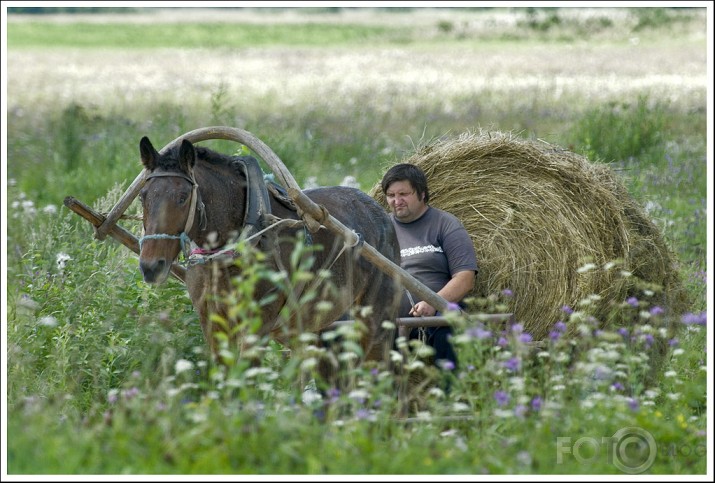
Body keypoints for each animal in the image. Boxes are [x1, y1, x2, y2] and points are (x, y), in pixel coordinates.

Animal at [135, 136, 402, 382]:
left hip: (373, 321)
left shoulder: (258, 323)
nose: (151, 266)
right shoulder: (213, 321)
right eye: (143, 196)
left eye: (182, 197)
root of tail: (380, 213)